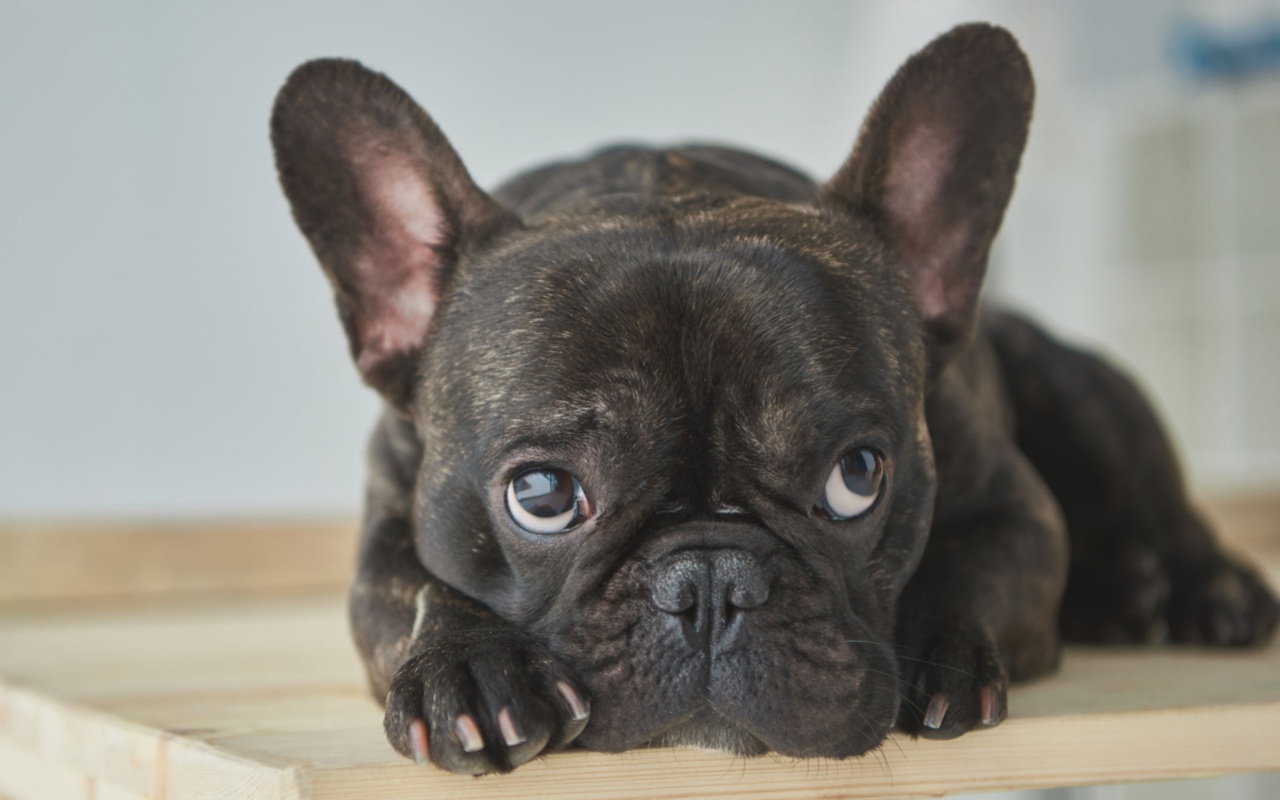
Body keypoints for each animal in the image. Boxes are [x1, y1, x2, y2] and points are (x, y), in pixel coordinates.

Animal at [272, 24, 1280, 773]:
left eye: (857, 477)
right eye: (543, 495)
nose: (711, 582)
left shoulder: (1019, 513)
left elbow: (974, 562)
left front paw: (941, 653)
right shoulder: (384, 527)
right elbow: (410, 588)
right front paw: (467, 668)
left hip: (1083, 390)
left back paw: (1202, 590)